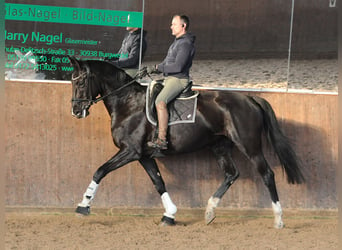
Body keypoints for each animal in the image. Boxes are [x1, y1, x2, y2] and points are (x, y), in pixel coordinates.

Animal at [69, 56, 304, 229]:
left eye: (80, 81)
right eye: (71, 81)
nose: (75, 111)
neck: (128, 102)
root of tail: (250, 99)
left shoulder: (130, 152)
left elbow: (100, 171)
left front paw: (83, 206)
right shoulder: (144, 156)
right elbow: (158, 182)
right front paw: (169, 215)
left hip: (249, 146)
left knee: (267, 174)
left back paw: (278, 220)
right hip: (220, 147)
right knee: (231, 174)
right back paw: (209, 211)